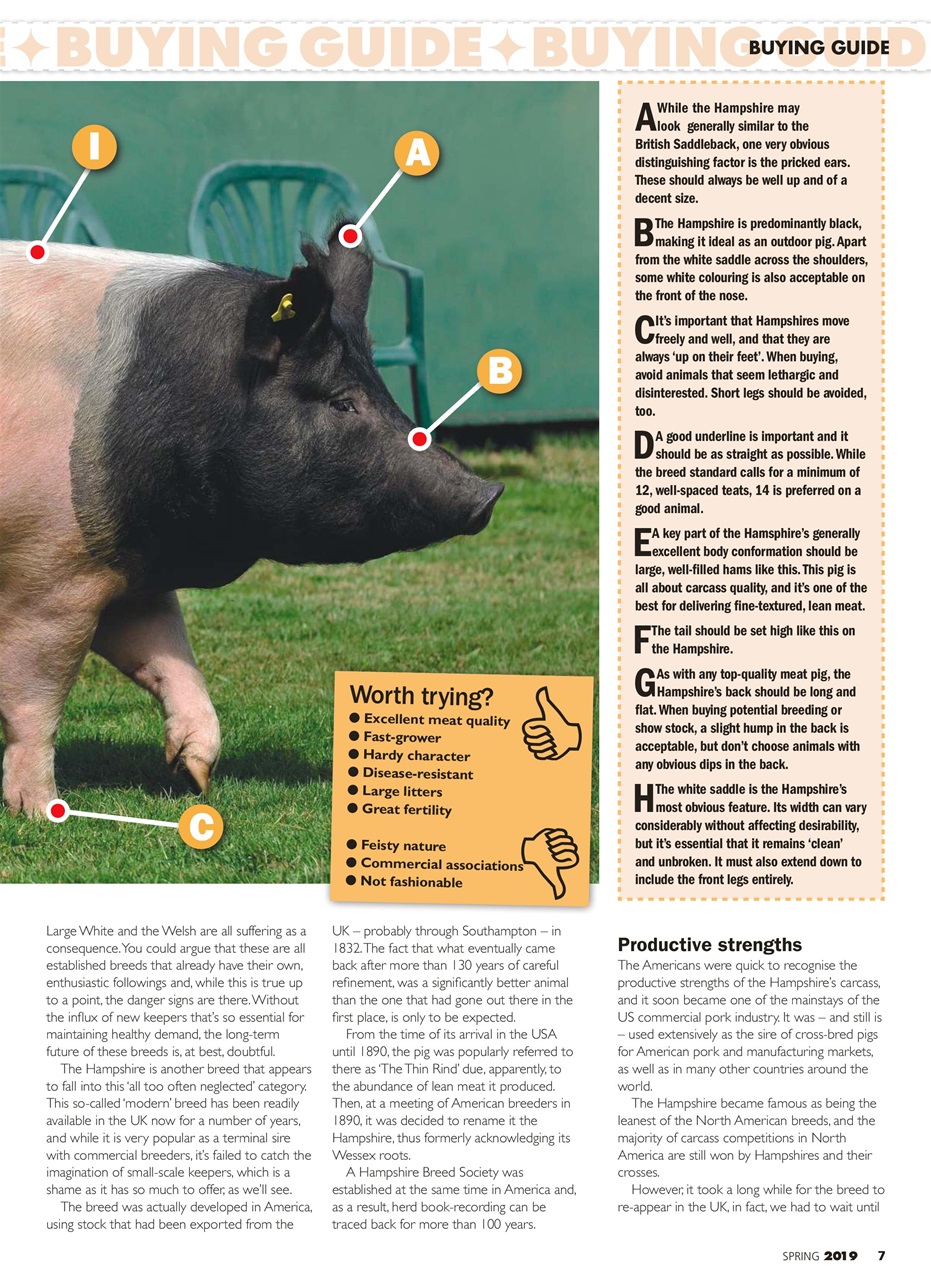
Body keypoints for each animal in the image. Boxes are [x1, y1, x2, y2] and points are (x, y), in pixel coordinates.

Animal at [0, 229, 503, 815]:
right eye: (341, 403)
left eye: (380, 391)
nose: (489, 493)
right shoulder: (52, 573)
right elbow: (37, 697)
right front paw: (41, 811)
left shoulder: (129, 566)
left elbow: (170, 658)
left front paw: (194, 777)